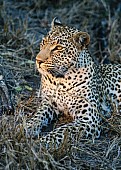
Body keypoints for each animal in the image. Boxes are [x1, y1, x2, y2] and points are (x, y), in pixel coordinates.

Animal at [25, 17, 120, 150]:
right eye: (43, 42)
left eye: (58, 48)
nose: (38, 60)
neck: (59, 80)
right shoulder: (48, 102)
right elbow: (38, 115)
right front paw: (26, 127)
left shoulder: (89, 119)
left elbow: (62, 130)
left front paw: (41, 143)